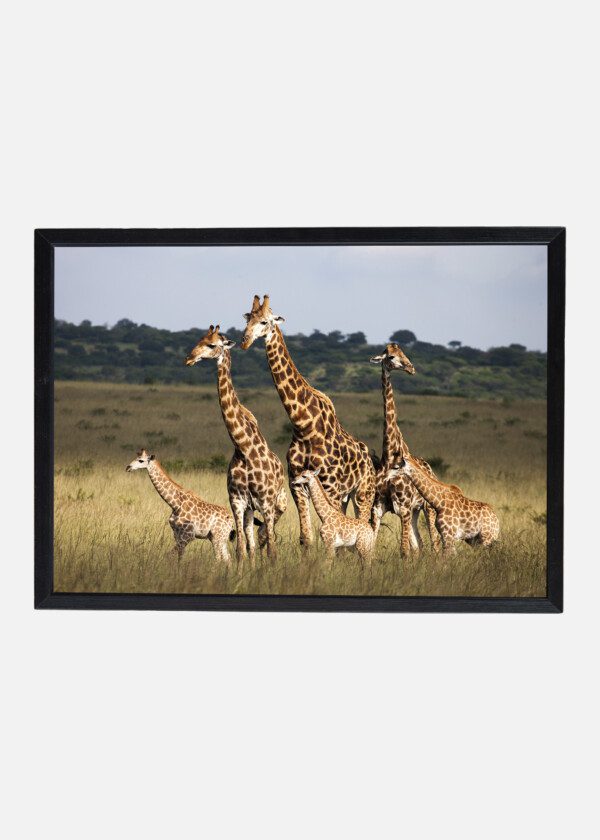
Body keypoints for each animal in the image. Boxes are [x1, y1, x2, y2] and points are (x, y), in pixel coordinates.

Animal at [185, 325, 287, 565]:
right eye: (198, 340)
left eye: (212, 344)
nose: (189, 359)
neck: (243, 449)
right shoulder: (238, 502)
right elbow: (241, 548)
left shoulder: (266, 503)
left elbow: (272, 551)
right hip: (251, 510)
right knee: (252, 543)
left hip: (276, 504)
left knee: (268, 538)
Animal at [240, 294, 376, 548]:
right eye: (247, 319)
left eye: (264, 321)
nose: (244, 341)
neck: (304, 426)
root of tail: (370, 460)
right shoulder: (297, 482)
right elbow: (306, 537)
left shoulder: (330, 485)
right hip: (346, 495)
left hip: (363, 492)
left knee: (366, 524)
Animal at [369, 343, 440, 555]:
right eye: (391, 357)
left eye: (404, 353)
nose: (411, 368)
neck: (389, 457)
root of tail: (432, 471)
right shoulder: (378, 507)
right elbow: (370, 547)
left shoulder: (404, 507)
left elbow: (404, 551)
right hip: (416, 511)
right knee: (420, 545)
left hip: (427, 508)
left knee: (434, 544)